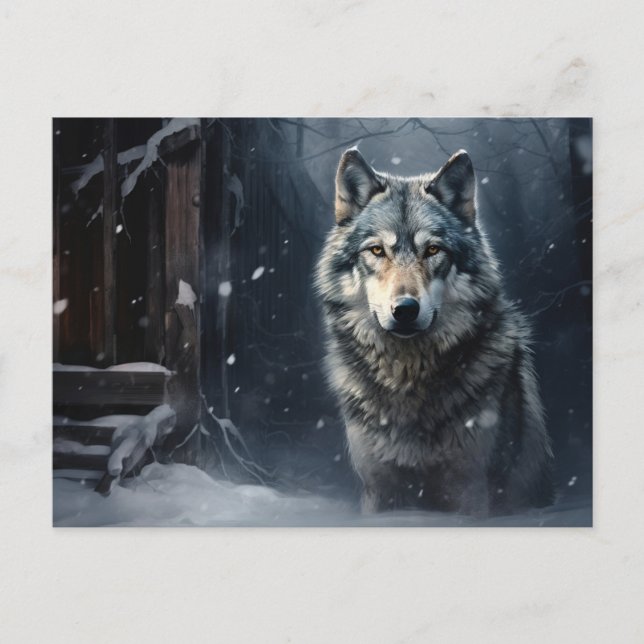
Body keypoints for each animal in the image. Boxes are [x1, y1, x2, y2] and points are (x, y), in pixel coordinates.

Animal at [315, 148, 554, 515]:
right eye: (377, 250)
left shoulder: (471, 487)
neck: (407, 377)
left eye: (432, 250)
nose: (405, 309)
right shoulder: (378, 489)